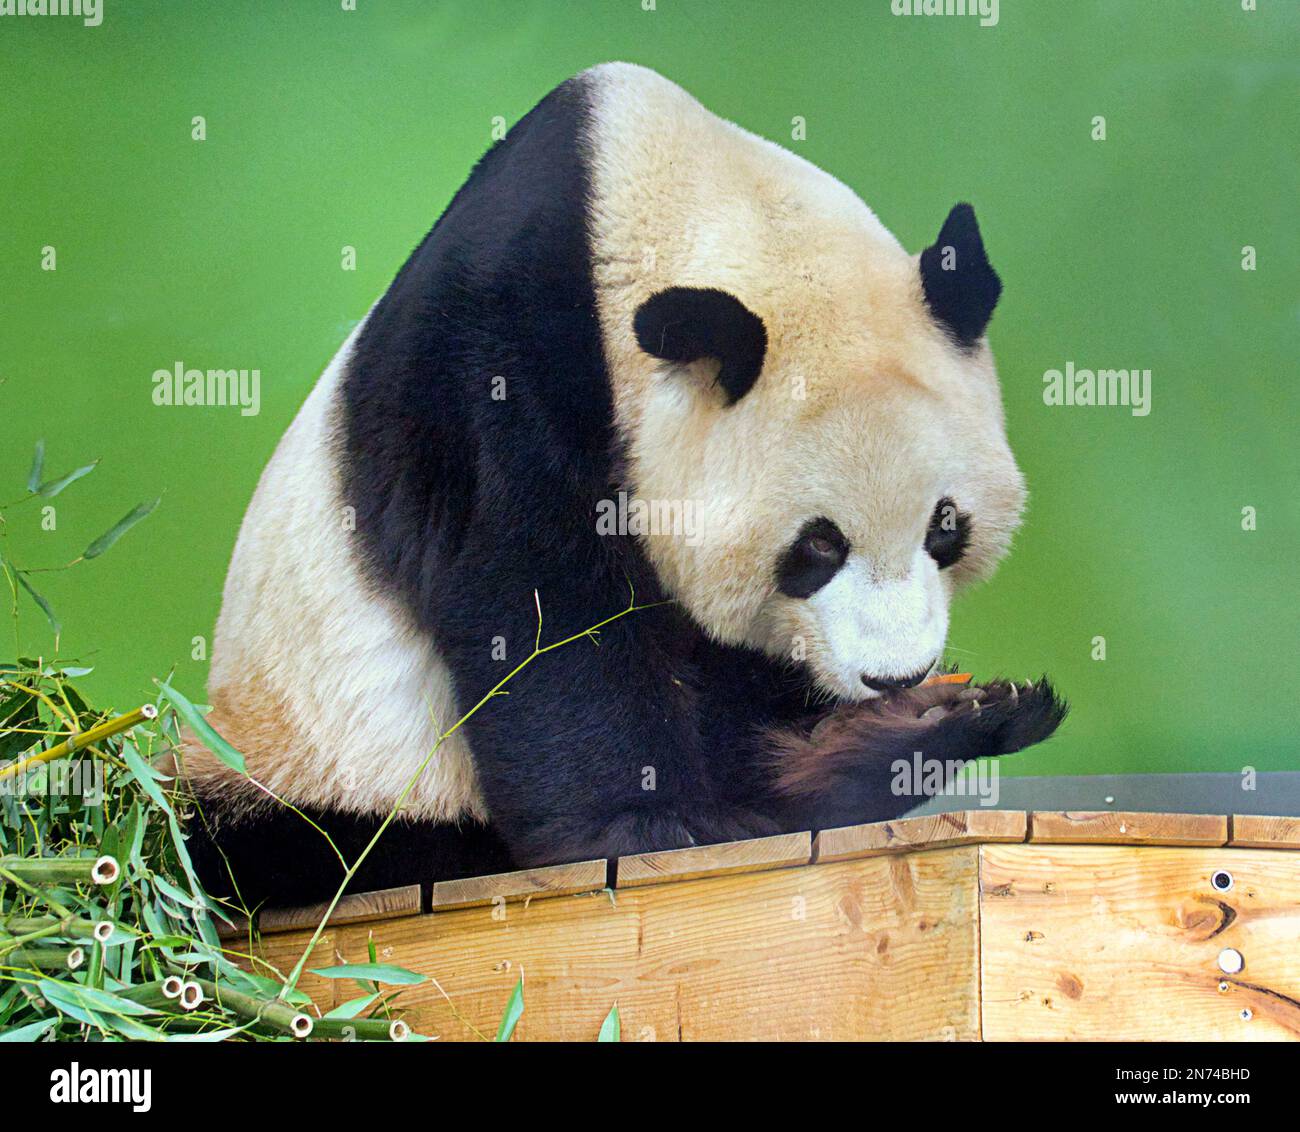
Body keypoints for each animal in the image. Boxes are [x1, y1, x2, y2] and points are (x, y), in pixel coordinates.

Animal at [182, 63, 1065, 909]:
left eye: (946, 527)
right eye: (817, 545)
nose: (895, 676)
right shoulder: (492, 372)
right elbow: (536, 600)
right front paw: (643, 827)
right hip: (303, 758)